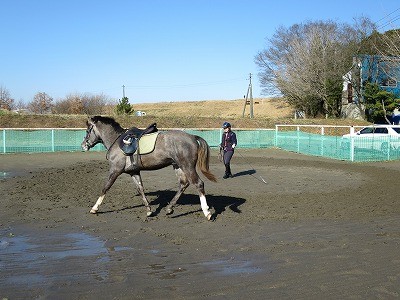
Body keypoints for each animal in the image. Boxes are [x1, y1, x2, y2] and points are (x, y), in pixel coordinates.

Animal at [81, 115, 217, 220]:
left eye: (88, 131)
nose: (83, 145)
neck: (116, 141)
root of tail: (192, 137)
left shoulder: (115, 170)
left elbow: (105, 187)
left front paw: (94, 208)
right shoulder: (134, 172)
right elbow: (140, 189)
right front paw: (149, 210)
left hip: (187, 166)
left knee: (198, 184)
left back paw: (207, 212)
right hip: (177, 166)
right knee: (183, 184)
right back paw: (169, 208)